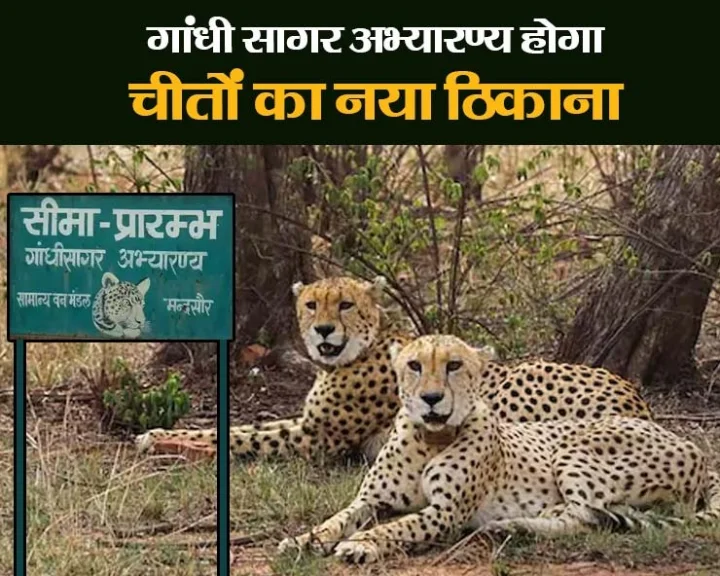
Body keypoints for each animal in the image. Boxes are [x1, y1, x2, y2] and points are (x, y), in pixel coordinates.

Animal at [135, 275, 652, 464]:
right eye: (311, 304)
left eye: (345, 304)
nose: (323, 330)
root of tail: (636, 398)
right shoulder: (309, 425)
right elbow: (242, 426)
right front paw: (161, 432)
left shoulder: (316, 439)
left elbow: (240, 436)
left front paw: (162, 439)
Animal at [279, 334, 720, 565]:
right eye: (414, 365)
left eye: (454, 365)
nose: (432, 399)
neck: (430, 439)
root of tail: (695, 449)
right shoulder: (370, 499)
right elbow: (336, 519)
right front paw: (303, 541)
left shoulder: (446, 512)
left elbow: (398, 526)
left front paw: (361, 544)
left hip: (572, 451)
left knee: (584, 516)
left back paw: (515, 524)